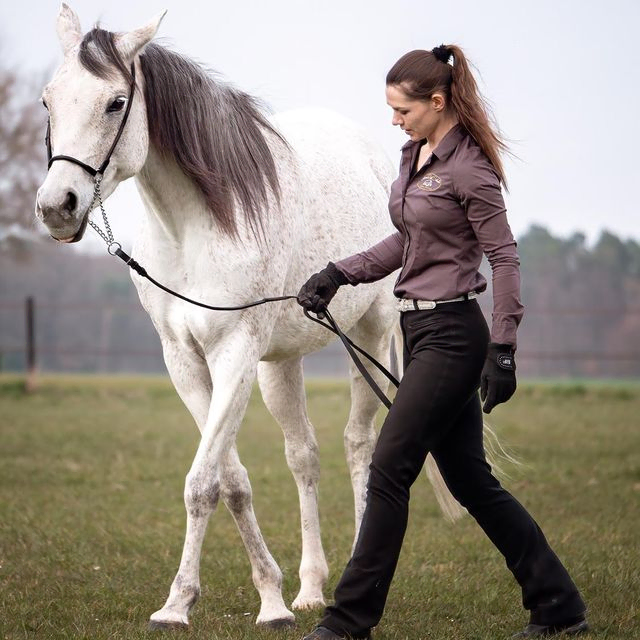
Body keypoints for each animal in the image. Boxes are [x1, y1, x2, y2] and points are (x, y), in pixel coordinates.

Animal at [35, 3, 460, 632]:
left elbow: (201, 483)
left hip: (369, 336)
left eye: (115, 102)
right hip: (279, 365)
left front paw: (191, 604)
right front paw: (260, 598)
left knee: (359, 443)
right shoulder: (185, 362)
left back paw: (355, 574)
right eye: (48, 100)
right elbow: (230, 481)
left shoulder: (233, 354)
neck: (195, 229)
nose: (56, 207)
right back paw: (311, 588)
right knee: (303, 456)